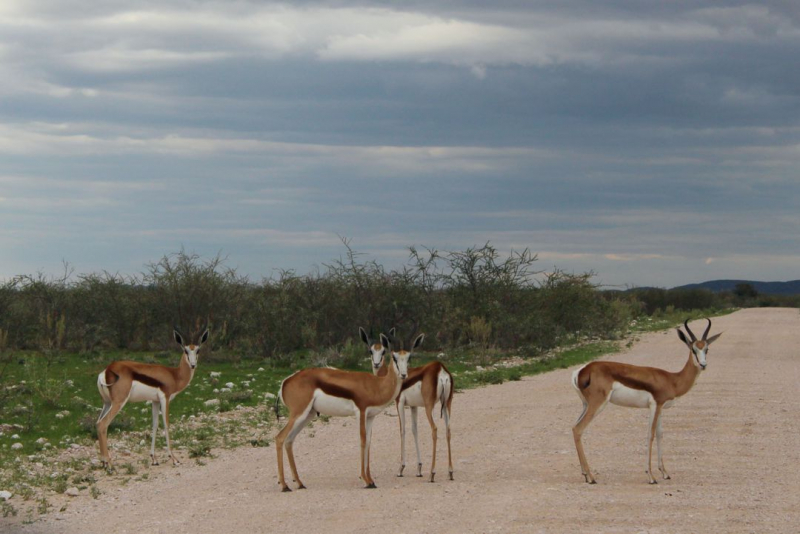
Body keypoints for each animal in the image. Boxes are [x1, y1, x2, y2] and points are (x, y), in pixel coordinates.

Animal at [95, 326, 208, 468]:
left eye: (198, 350)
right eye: (185, 350)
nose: (193, 365)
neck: (174, 375)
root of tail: (108, 370)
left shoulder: (155, 401)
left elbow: (155, 425)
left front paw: (154, 459)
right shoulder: (165, 398)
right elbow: (166, 424)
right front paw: (174, 459)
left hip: (107, 403)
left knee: (97, 423)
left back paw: (104, 462)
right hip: (118, 402)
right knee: (103, 424)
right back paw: (109, 464)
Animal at [276, 336, 416, 494]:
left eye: (409, 357)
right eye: (394, 357)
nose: (404, 375)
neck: (376, 386)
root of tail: (285, 382)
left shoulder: (370, 416)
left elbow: (369, 442)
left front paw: (371, 480)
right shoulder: (361, 412)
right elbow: (362, 440)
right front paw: (366, 480)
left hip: (307, 415)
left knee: (289, 440)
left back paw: (299, 483)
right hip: (298, 414)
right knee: (279, 438)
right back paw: (284, 486)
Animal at [360, 328, 454, 484]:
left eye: (384, 351)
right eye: (371, 351)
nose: (377, 364)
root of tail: (440, 369)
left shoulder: (400, 403)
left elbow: (402, 430)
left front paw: (401, 469)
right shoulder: (413, 406)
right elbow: (414, 430)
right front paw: (419, 469)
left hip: (429, 407)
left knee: (434, 429)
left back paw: (432, 474)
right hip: (447, 404)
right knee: (448, 430)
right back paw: (450, 472)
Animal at [572, 320, 720, 488]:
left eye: (706, 349)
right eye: (693, 349)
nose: (703, 365)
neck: (672, 380)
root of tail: (583, 370)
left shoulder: (661, 408)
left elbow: (660, 434)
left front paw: (665, 473)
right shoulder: (654, 405)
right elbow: (650, 434)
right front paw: (651, 476)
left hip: (585, 405)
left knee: (574, 428)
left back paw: (585, 474)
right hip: (598, 404)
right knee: (578, 428)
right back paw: (591, 477)